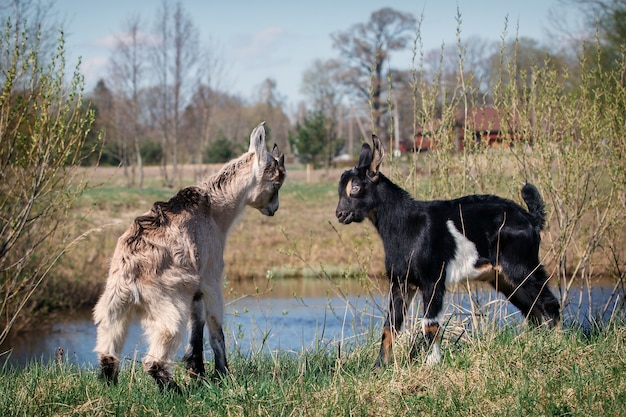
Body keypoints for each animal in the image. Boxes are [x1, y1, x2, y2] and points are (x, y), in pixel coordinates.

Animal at [334, 135, 560, 366]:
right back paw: (536, 342)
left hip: (522, 266)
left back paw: (555, 343)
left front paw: (431, 362)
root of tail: (532, 219)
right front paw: (380, 366)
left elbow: (429, 323)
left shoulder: (433, 281)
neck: (407, 224)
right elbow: (390, 325)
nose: (340, 214)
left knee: (550, 303)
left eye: (356, 187)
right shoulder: (401, 283)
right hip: (503, 278)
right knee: (532, 309)